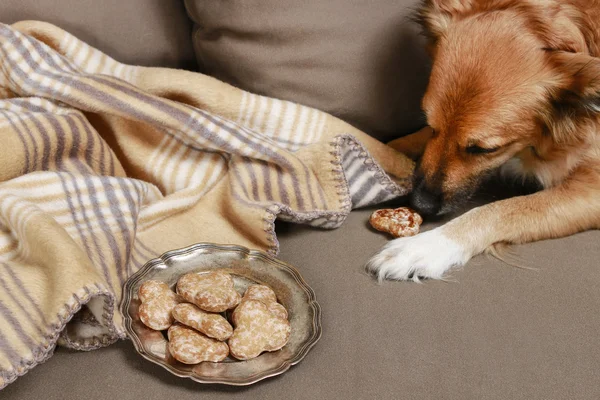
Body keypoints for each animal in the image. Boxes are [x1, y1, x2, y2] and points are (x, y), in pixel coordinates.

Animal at [366, 0, 600, 282]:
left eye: (483, 149)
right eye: (429, 124)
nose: (420, 204)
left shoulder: (591, 189)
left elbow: (501, 210)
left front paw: (423, 247)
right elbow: (400, 143)